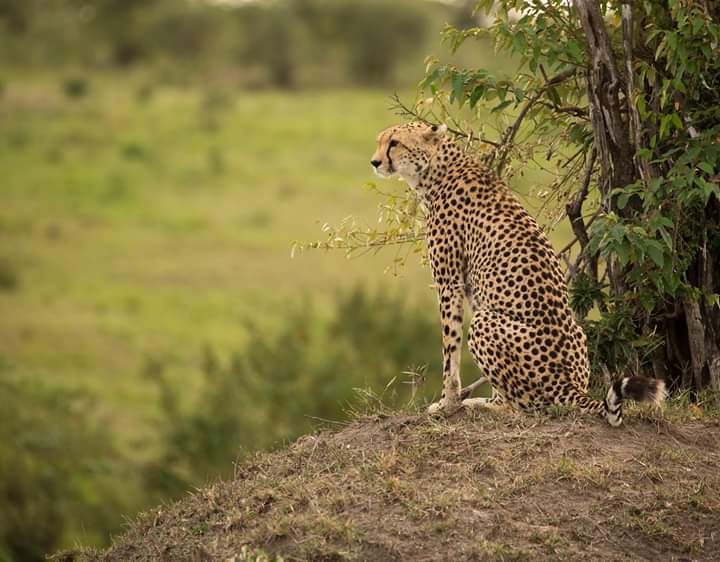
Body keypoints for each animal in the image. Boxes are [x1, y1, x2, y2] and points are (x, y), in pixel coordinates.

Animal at [368, 120, 668, 422]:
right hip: (576, 332)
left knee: (523, 408)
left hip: (484, 323)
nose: (375, 162)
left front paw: (446, 403)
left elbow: (449, 350)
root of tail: (570, 386)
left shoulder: (449, 284)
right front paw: (454, 402)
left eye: (394, 143)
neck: (438, 170)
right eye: (380, 140)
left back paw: (486, 405)